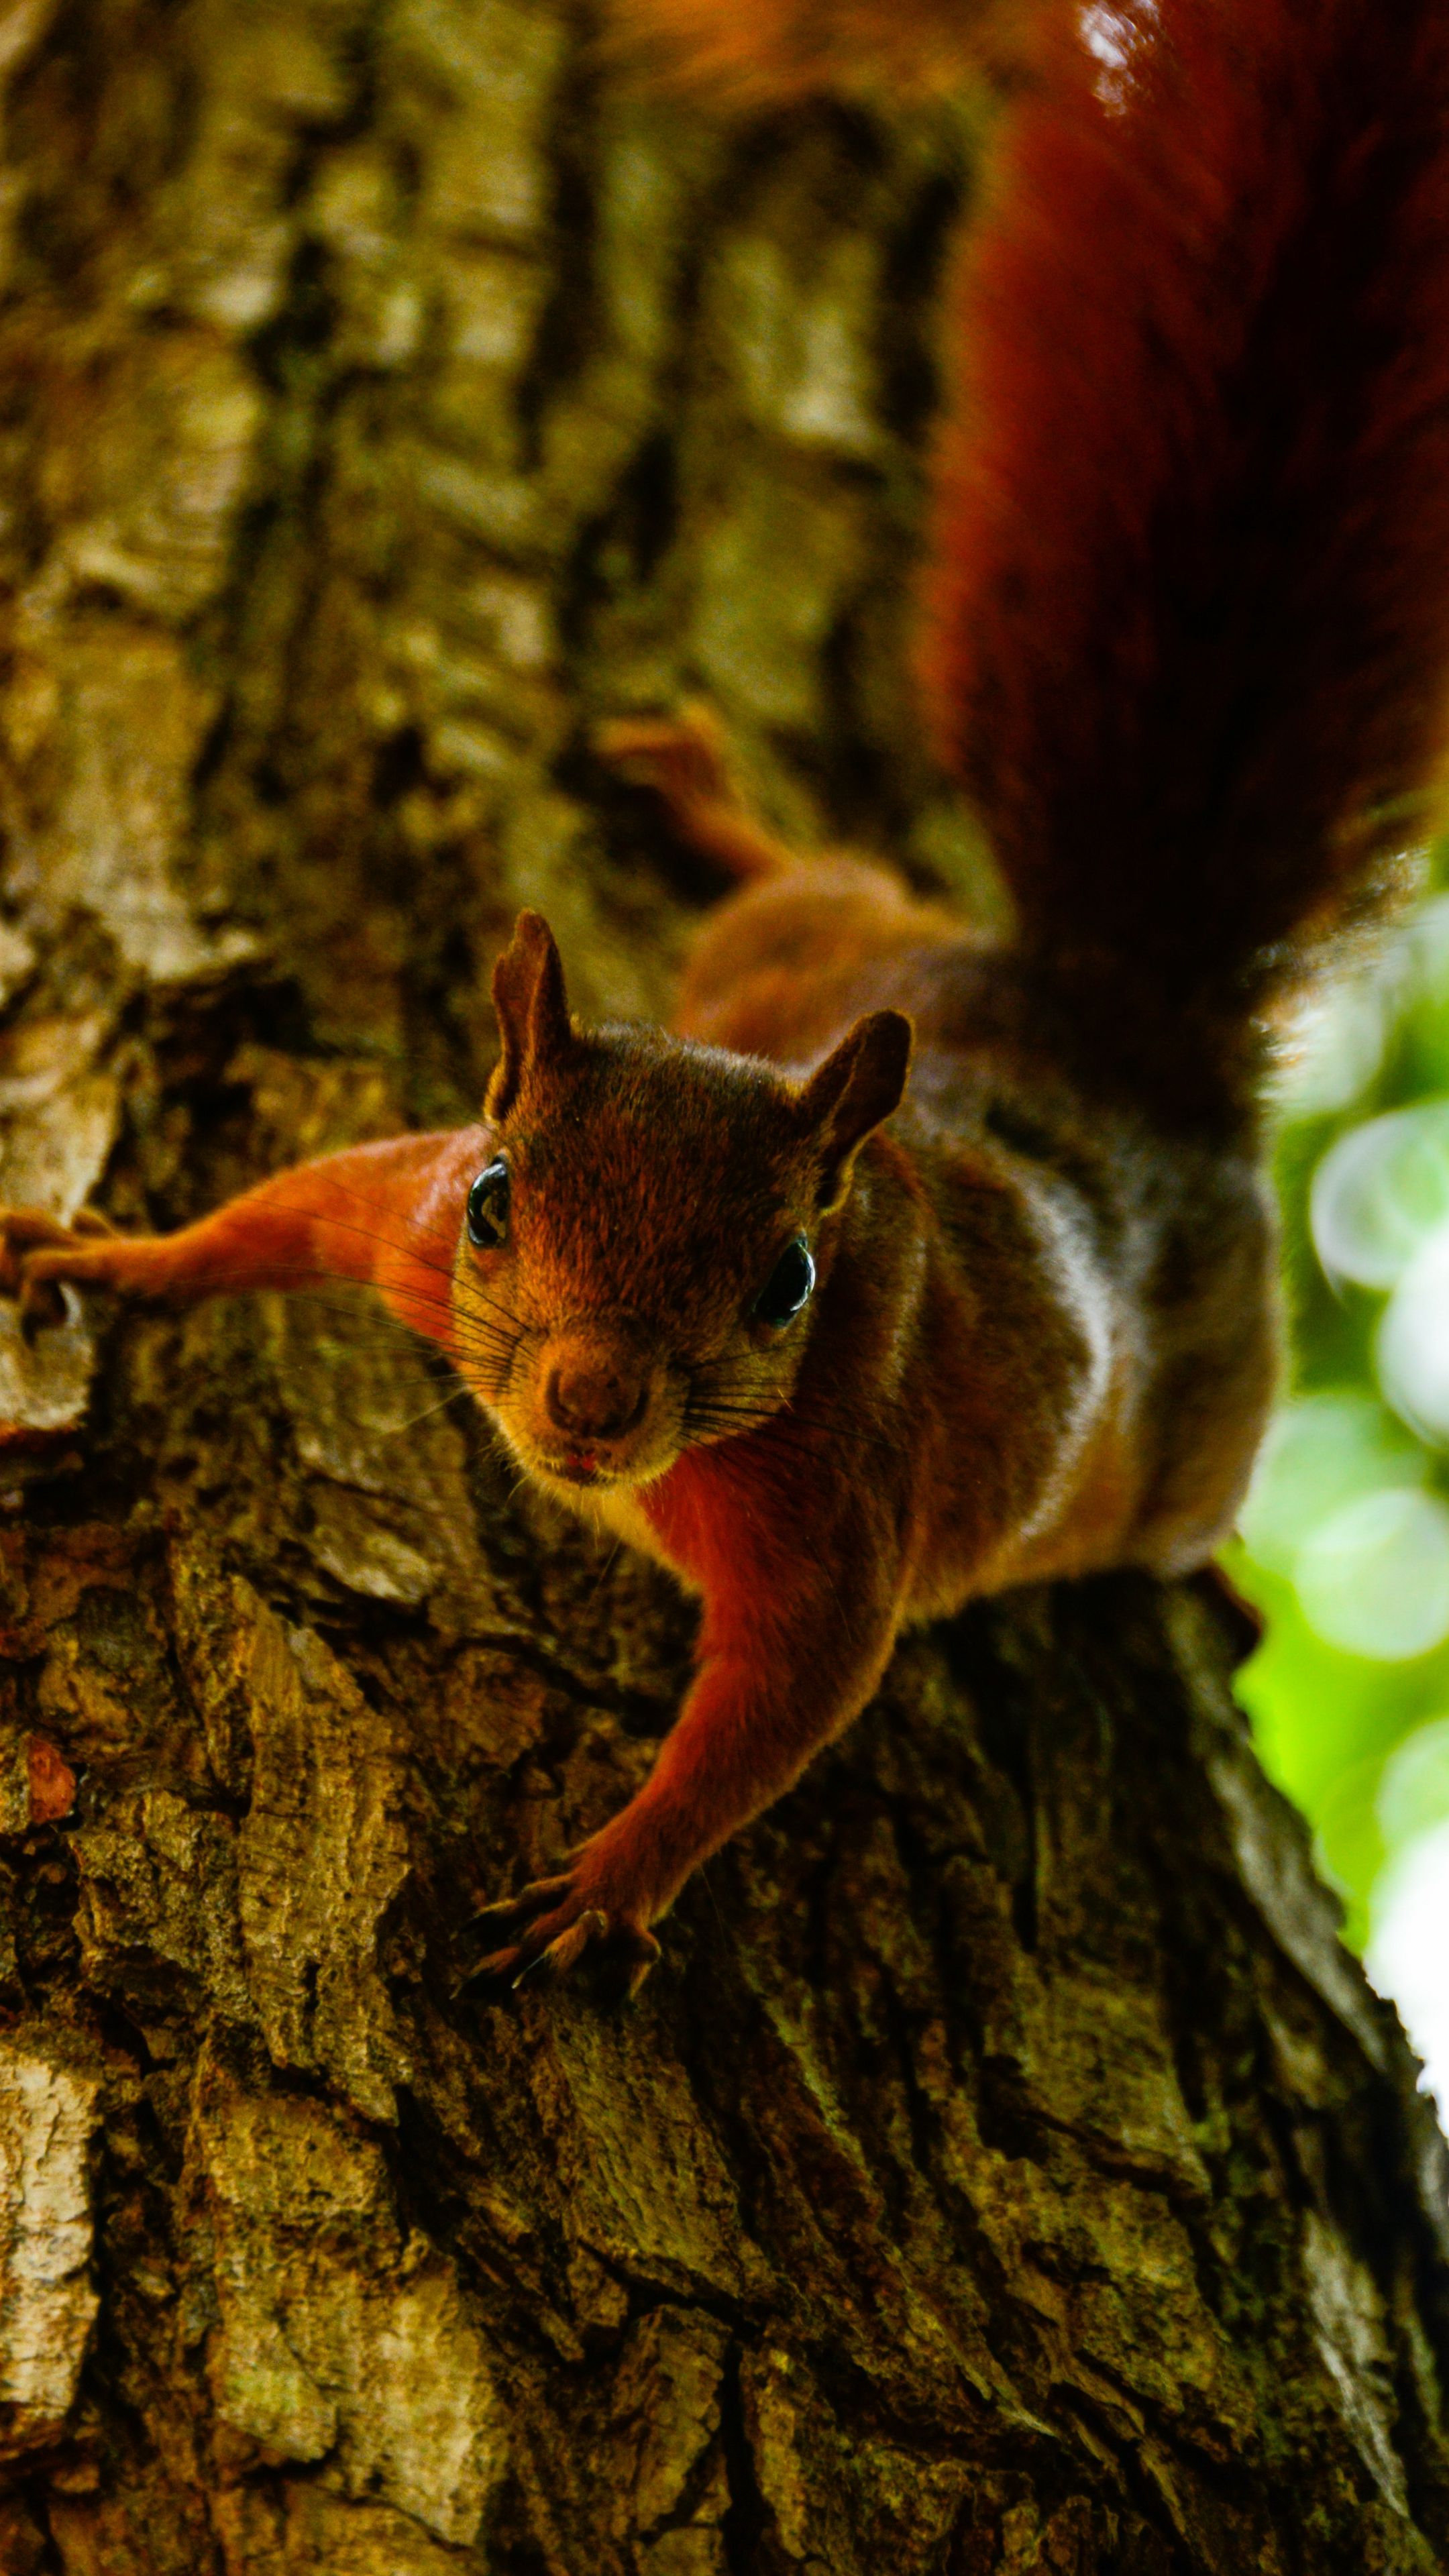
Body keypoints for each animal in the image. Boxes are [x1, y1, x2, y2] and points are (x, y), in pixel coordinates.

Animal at [8, 0, 1444, 1988]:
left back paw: (1216, 1586)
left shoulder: (836, 1520)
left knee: (1185, 1514)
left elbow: (773, 1718)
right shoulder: (401, 1214)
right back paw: (696, 801)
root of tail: (1111, 1011)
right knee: (805, 876)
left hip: (1201, 1419)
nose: (593, 1403)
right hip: (800, 948)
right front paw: (114, 1257)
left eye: (789, 1285)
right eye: (499, 1200)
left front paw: (607, 1882)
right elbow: (276, 1211)